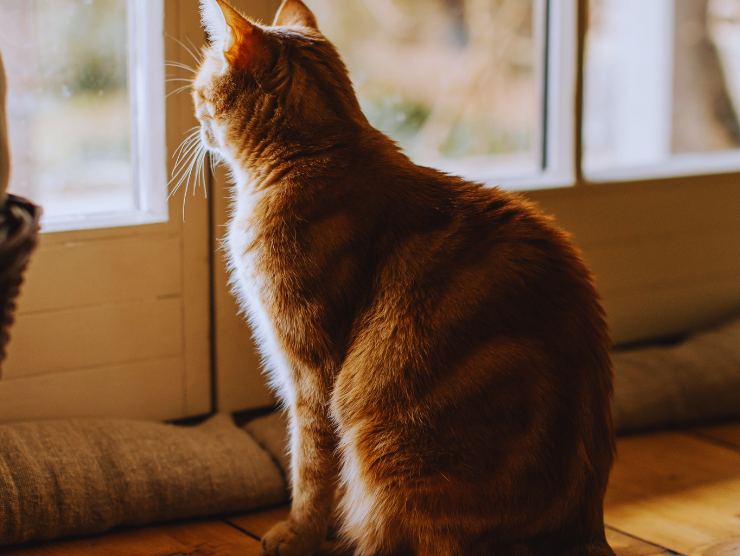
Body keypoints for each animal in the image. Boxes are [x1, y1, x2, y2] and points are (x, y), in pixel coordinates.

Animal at [194, 2, 616, 552]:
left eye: (199, 90)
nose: (196, 118)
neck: (316, 155)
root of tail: (585, 526)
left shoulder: (312, 372)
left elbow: (310, 466)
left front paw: (299, 532)